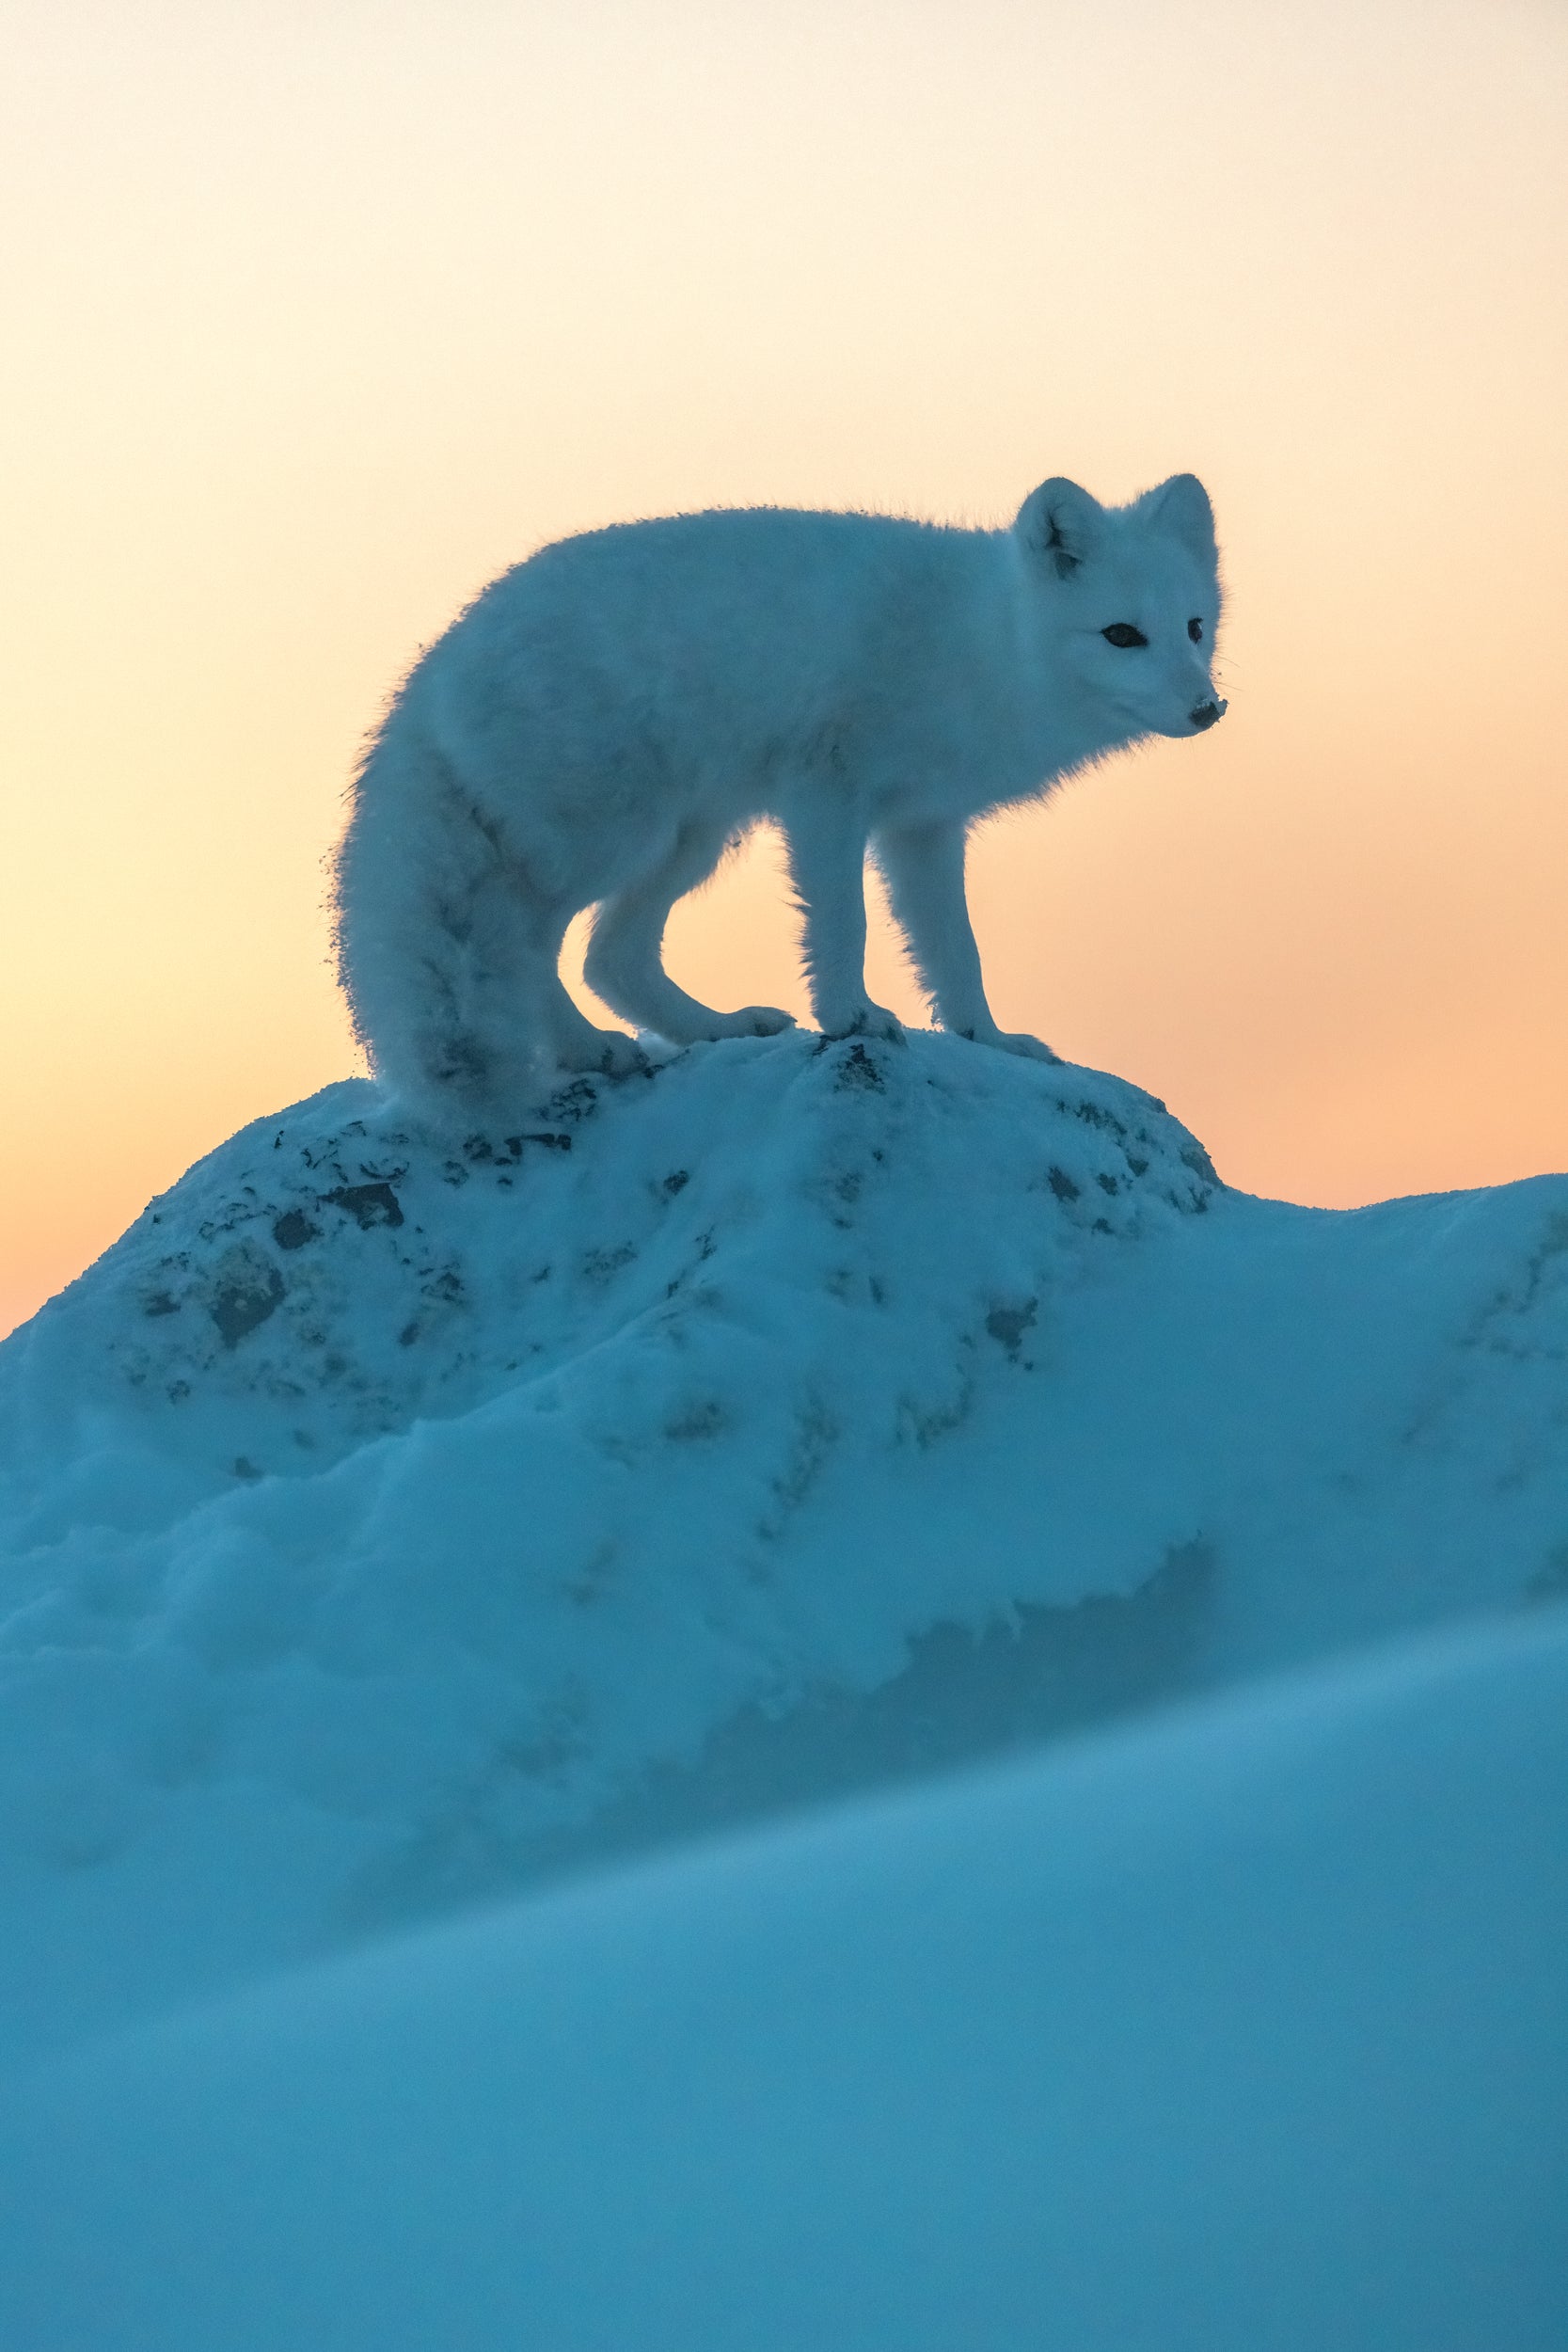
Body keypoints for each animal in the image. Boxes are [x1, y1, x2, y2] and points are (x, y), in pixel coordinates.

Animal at [333, 474, 1225, 1125]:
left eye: (1192, 628)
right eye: (1120, 635)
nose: (1208, 709)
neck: (985, 647)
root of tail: (434, 665)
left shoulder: (923, 825)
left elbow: (954, 949)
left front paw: (988, 1039)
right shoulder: (825, 792)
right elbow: (843, 924)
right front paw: (851, 1017)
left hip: (690, 841)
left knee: (608, 958)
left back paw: (712, 1029)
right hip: (608, 838)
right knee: (520, 946)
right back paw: (589, 1050)